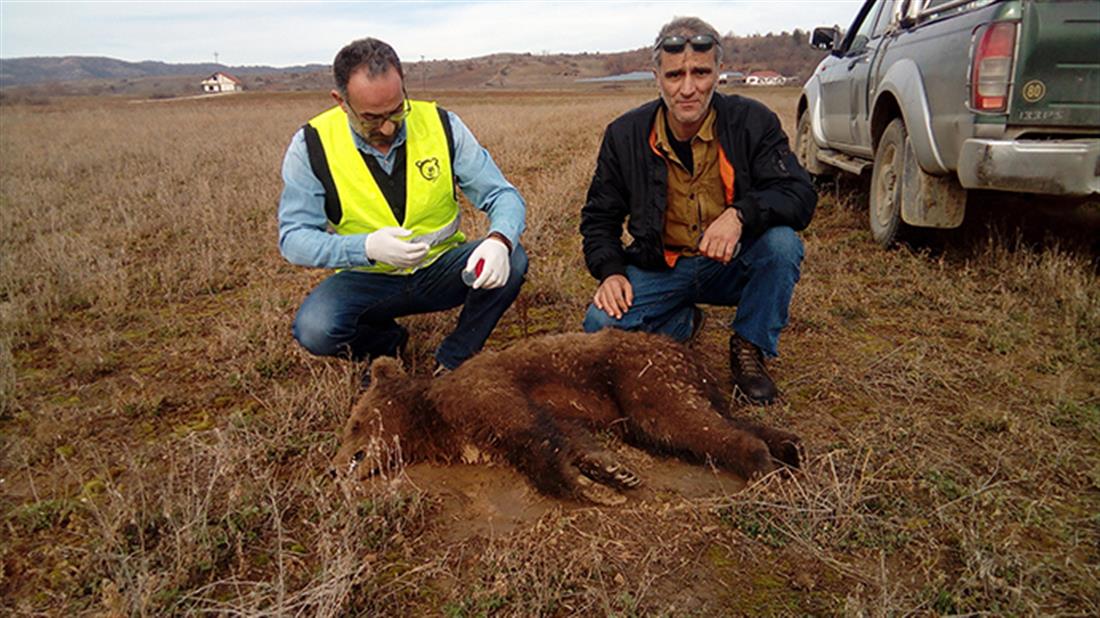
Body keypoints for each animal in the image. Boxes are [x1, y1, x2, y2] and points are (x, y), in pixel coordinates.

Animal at [332, 327, 800, 501]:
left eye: (354, 424)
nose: (334, 467)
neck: (431, 418)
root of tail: (687, 353)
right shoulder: (500, 426)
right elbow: (568, 437)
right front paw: (612, 473)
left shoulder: (485, 394)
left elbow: (535, 441)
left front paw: (591, 487)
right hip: (672, 386)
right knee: (707, 418)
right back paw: (789, 445)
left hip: (643, 375)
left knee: (683, 421)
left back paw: (762, 465)